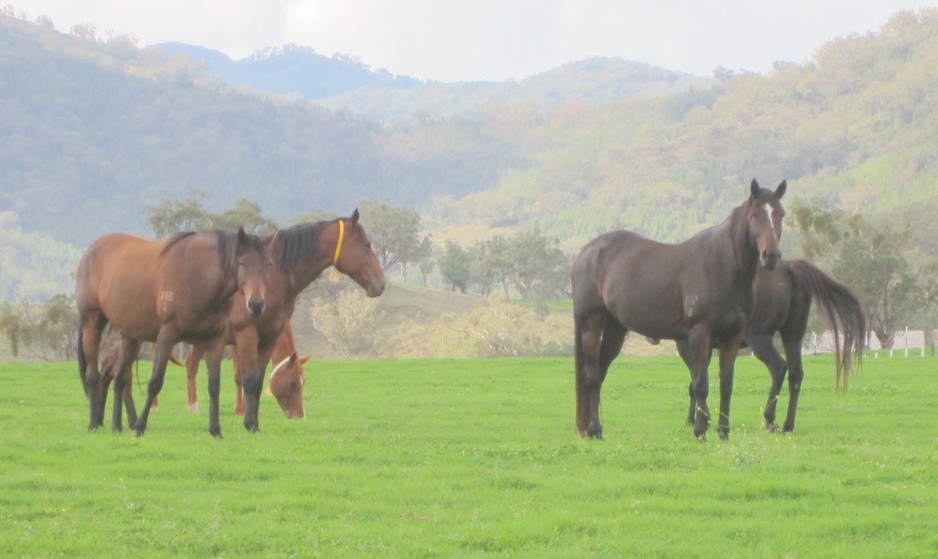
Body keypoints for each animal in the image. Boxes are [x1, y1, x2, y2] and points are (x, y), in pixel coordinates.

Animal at [75, 228, 268, 438]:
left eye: (267, 265)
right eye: (242, 263)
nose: (256, 304)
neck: (198, 276)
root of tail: (90, 250)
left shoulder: (216, 339)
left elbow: (214, 385)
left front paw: (216, 430)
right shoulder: (167, 336)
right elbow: (155, 382)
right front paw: (140, 427)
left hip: (130, 337)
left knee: (120, 377)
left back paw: (116, 425)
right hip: (92, 323)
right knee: (93, 375)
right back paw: (94, 423)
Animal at [572, 179, 784, 442]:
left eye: (780, 214)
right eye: (755, 215)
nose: (771, 255)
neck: (721, 265)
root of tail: (585, 253)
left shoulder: (733, 336)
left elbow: (726, 384)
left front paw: (723, 432)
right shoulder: (700, 333)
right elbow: (701, 384)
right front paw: (700, 430)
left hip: (615, 330)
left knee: (600, 374)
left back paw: (594, 429)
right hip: (592, 323)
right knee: (591, 377)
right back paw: (595, 429)